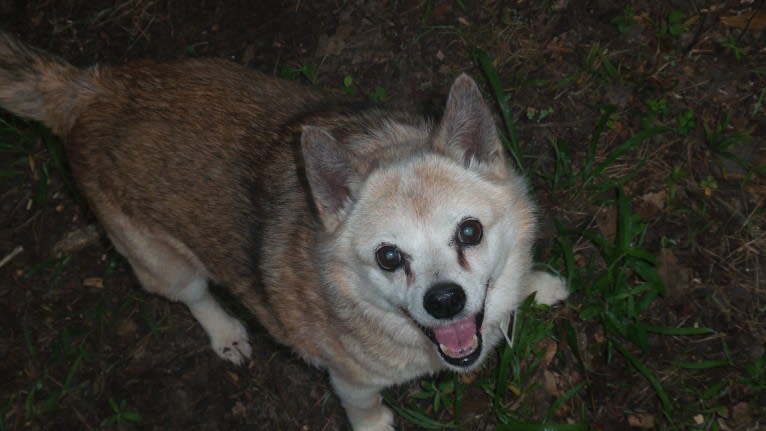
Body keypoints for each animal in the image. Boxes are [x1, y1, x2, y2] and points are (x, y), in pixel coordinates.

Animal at [0, 33, 564, 431]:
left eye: (469, 232)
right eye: (388, 258)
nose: (444, 301)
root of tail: (86, 90)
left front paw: (536, 284)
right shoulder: (350, 380)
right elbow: (364, 407)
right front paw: (375, 424)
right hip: (162, 263)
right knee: (194, 295)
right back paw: (225, 332)